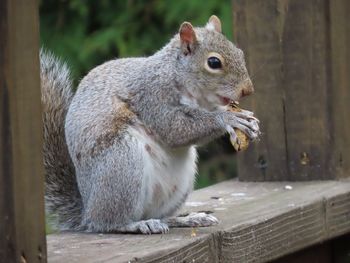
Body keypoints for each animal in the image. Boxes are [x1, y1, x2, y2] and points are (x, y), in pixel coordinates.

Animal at [41, 16, 260, 235]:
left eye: (239, 52)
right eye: (214, 62)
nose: (248, 90)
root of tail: (87, 212)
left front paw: (250, 121)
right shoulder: (152, 96)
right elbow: (174, 129)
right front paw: (228, 119)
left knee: (159, 216)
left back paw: (186, 219)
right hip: (122, 161)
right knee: (109, 222)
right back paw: (136, 224)